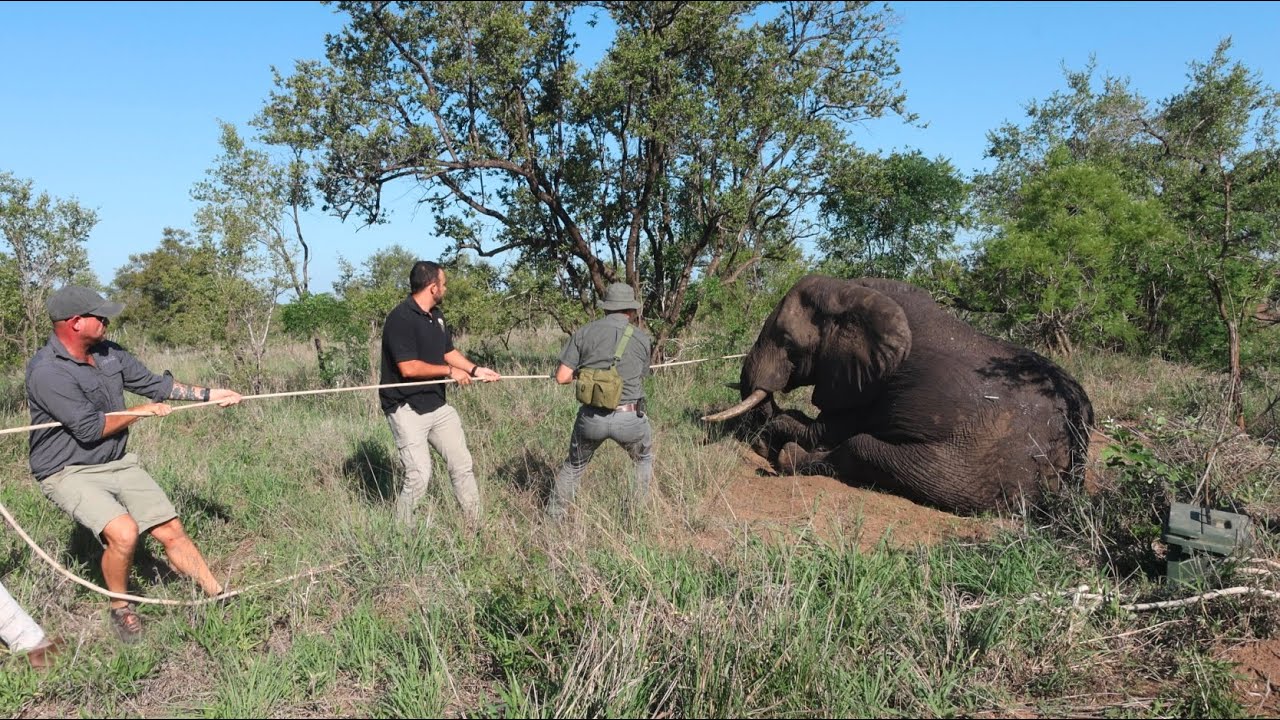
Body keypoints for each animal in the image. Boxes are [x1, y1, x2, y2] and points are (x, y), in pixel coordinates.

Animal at [704, 275, 1094, 514]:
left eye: (787, 341)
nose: (757, 442)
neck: (851, 293)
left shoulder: (870, 383)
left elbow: (826, 429)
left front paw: (776, 437)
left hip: (975, 470)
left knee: (862, 447)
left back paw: (787, 458)